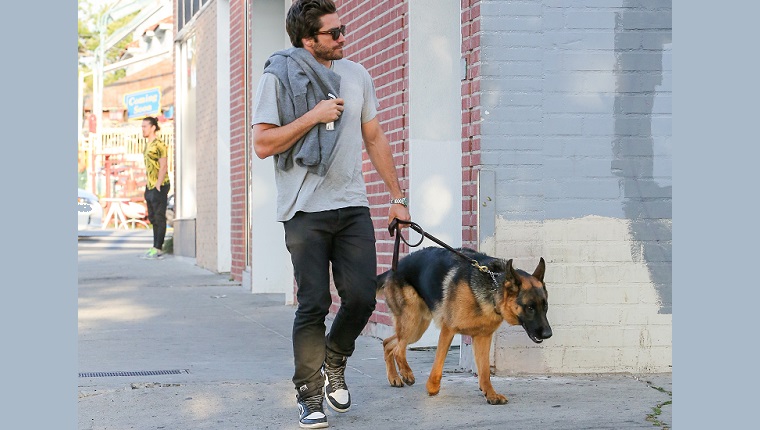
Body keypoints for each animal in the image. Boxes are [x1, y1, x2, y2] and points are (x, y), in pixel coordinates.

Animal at [376, 247, 548, 404]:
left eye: (545, 306)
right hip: (412, 323)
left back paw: (394, 377)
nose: (548, 334)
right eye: (530, 308)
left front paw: (490, 394)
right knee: (398, 349)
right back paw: (406, 373)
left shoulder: (483, 338)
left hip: (418, 328)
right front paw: (432, 388)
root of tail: (394, 268)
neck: (492, 288)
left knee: (388, 343)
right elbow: (438, 364)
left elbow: (485, 372)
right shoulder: (448, 330)